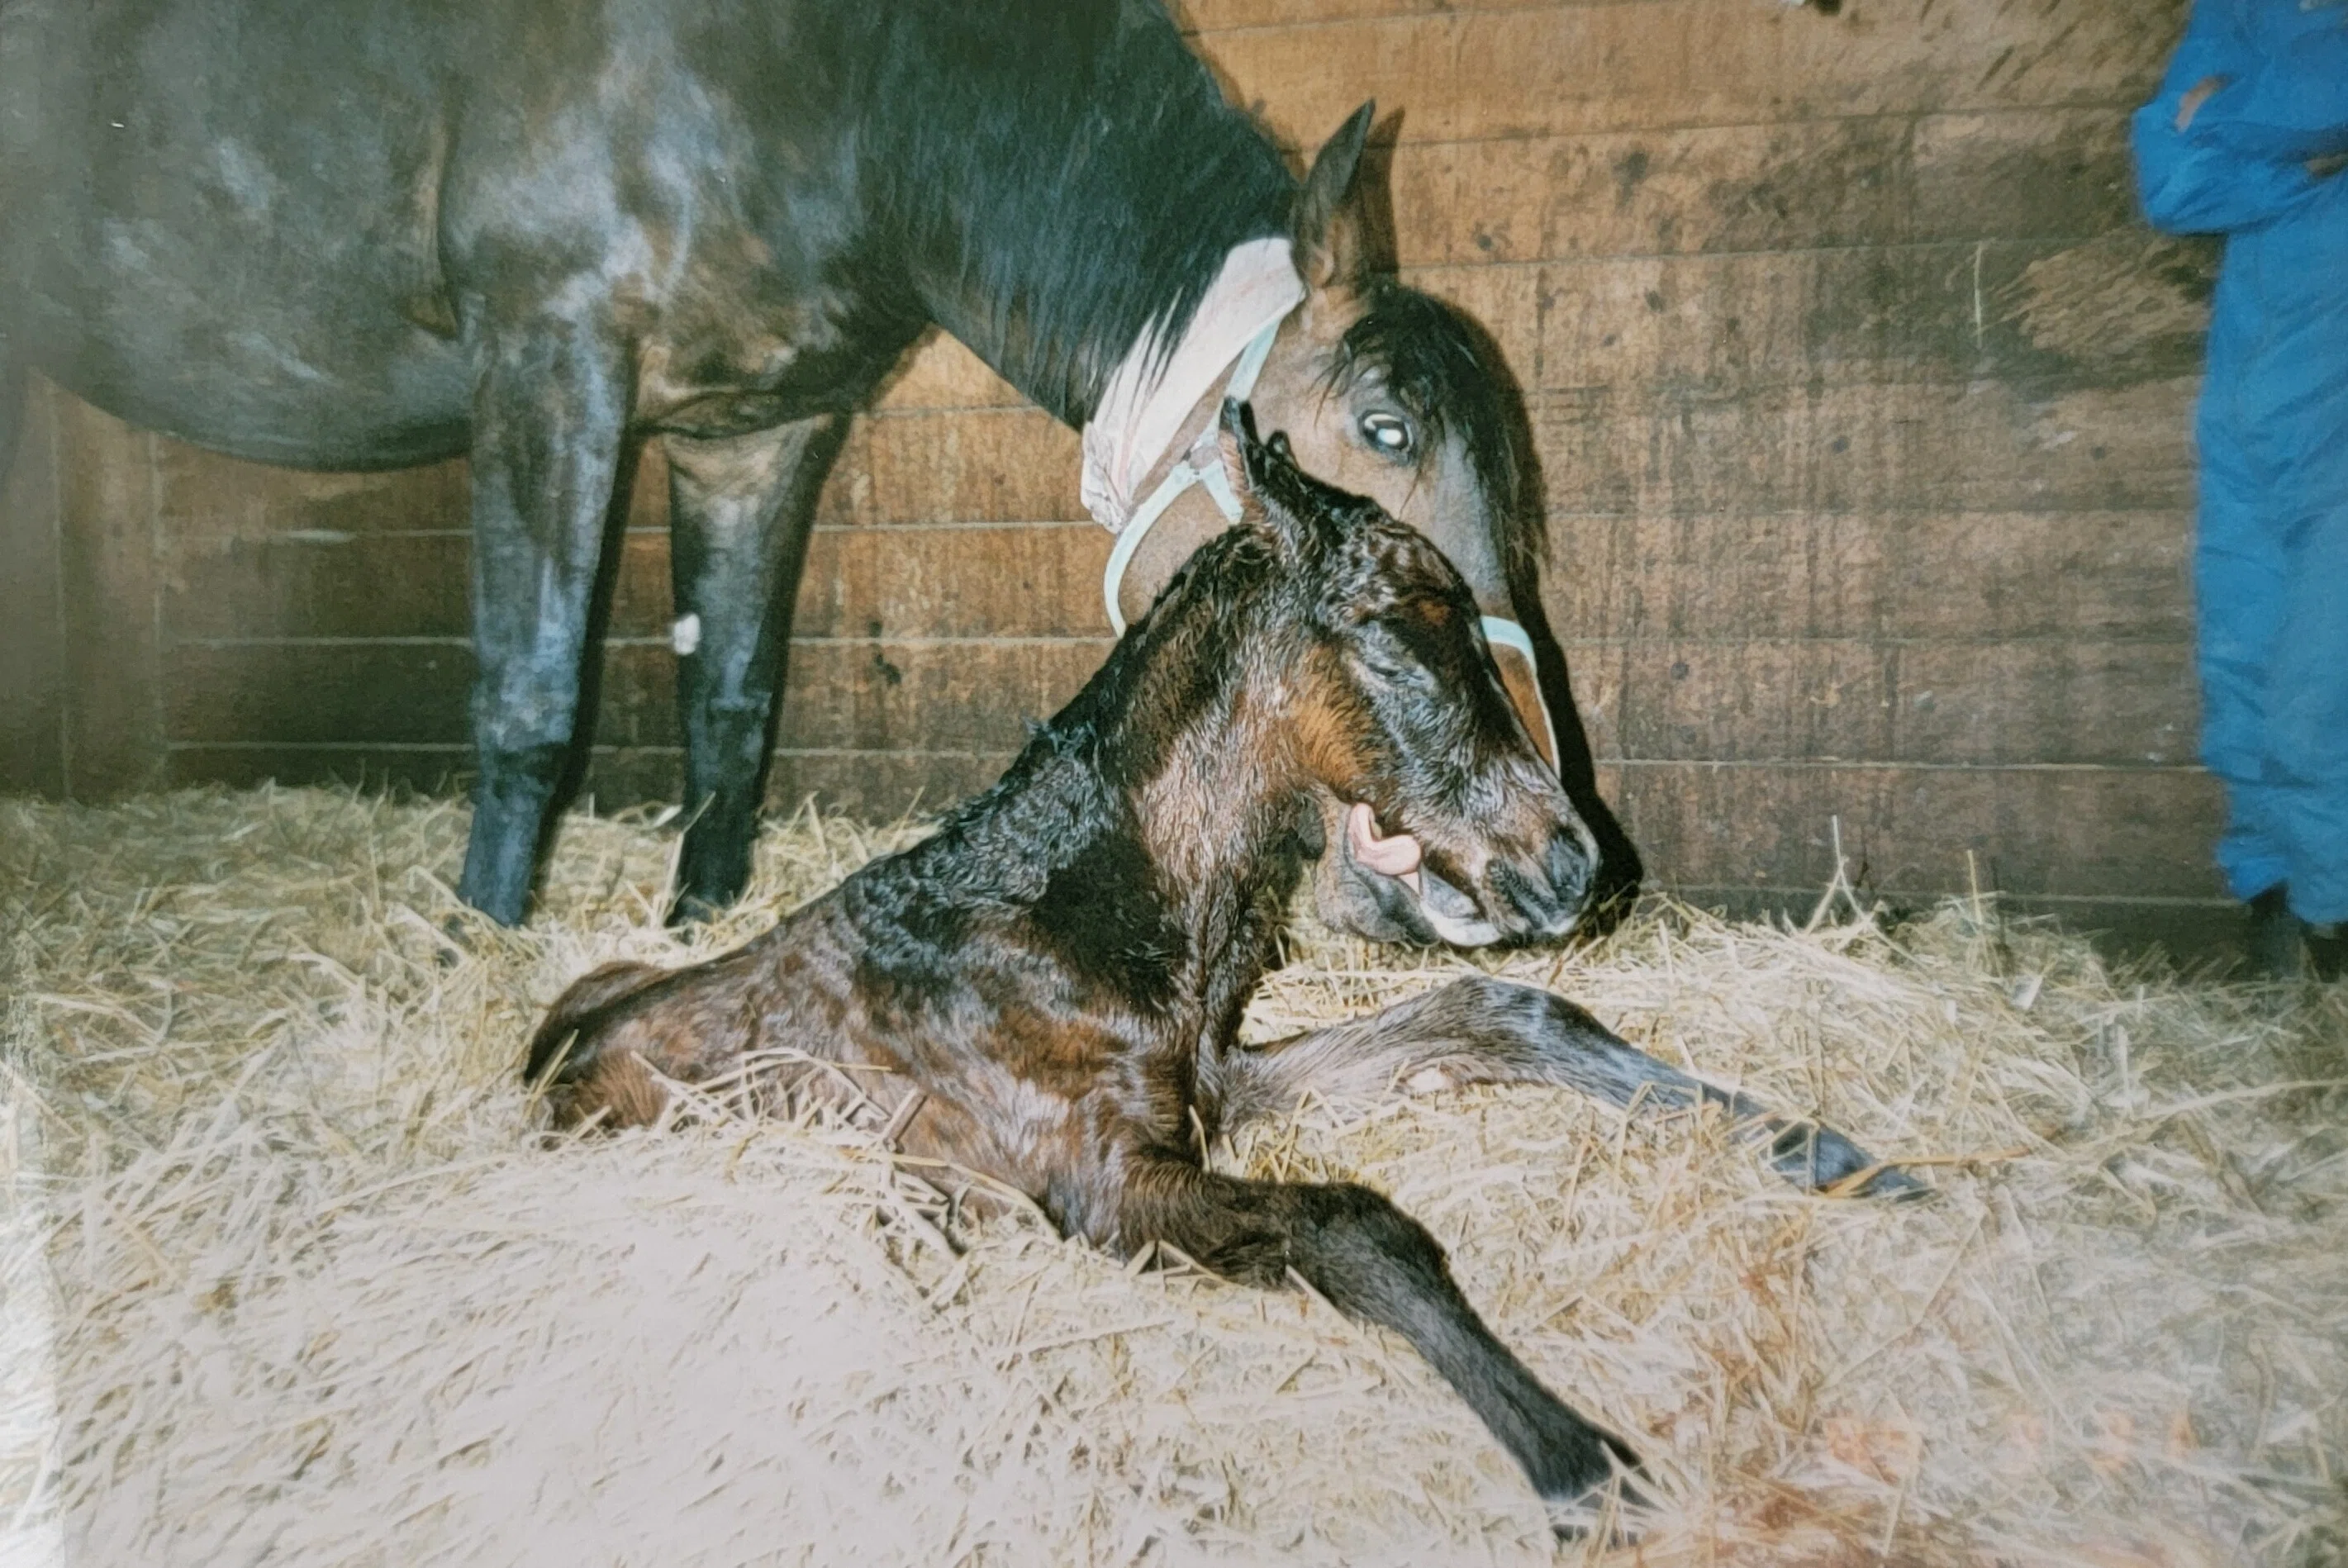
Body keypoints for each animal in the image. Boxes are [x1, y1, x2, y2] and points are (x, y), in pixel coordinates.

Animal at [0, 0, 1631, 933]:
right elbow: (529, 700)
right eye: (1384, 433)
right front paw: (482, 937)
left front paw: (699, 920)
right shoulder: (545, 359)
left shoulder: (754, 434)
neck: (822, 85)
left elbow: (732, 696)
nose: (1557, 856)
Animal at [524, 404, 1921, 1533]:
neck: (1063, 915)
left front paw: (1830, 1155)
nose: (1570, 861)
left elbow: (1501, 1008)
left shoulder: (1218, 1083)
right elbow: (1358, 1225)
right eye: (1394, 635)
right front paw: (1581, 1462)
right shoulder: (1099, 1181)